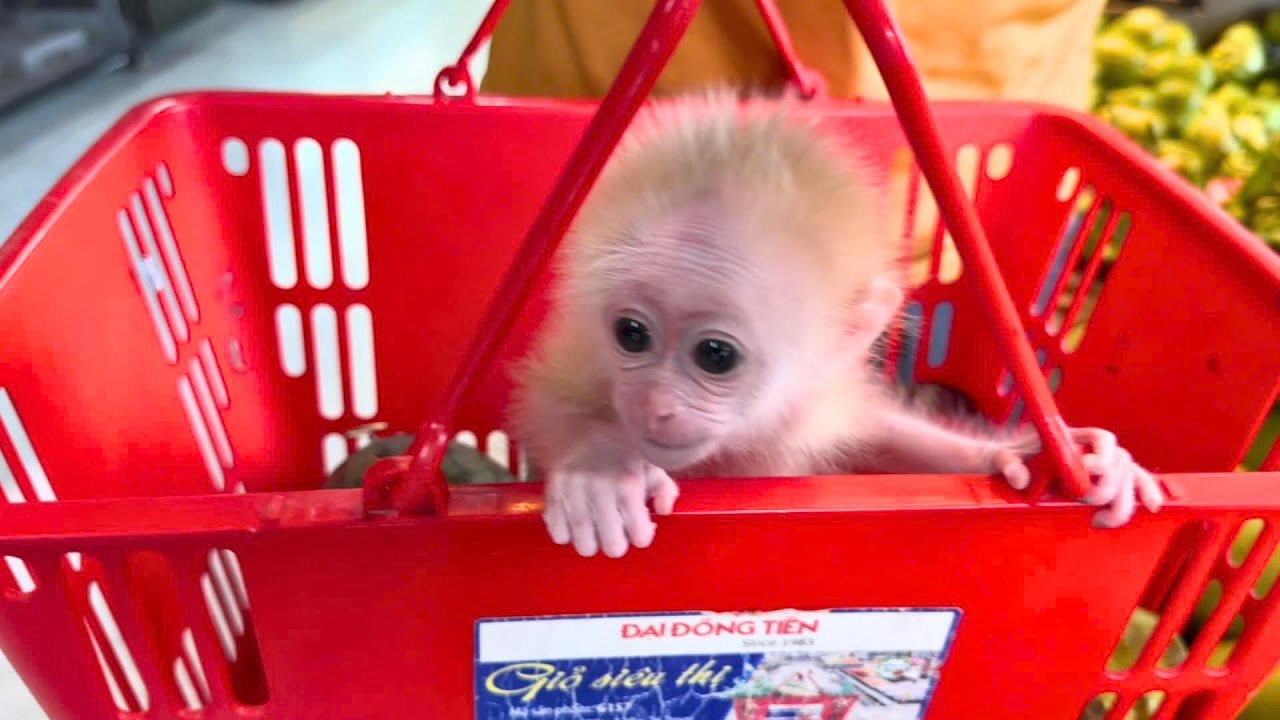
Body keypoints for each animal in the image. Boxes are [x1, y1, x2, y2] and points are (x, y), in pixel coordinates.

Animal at [507, 89, 1164, 559]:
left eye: (716, 355)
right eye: (632, 334)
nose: (656, 404)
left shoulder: (817, 399)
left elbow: (881, 435)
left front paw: (1032, 458)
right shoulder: (585, 358)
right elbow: (545, 405)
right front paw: (601, 468)